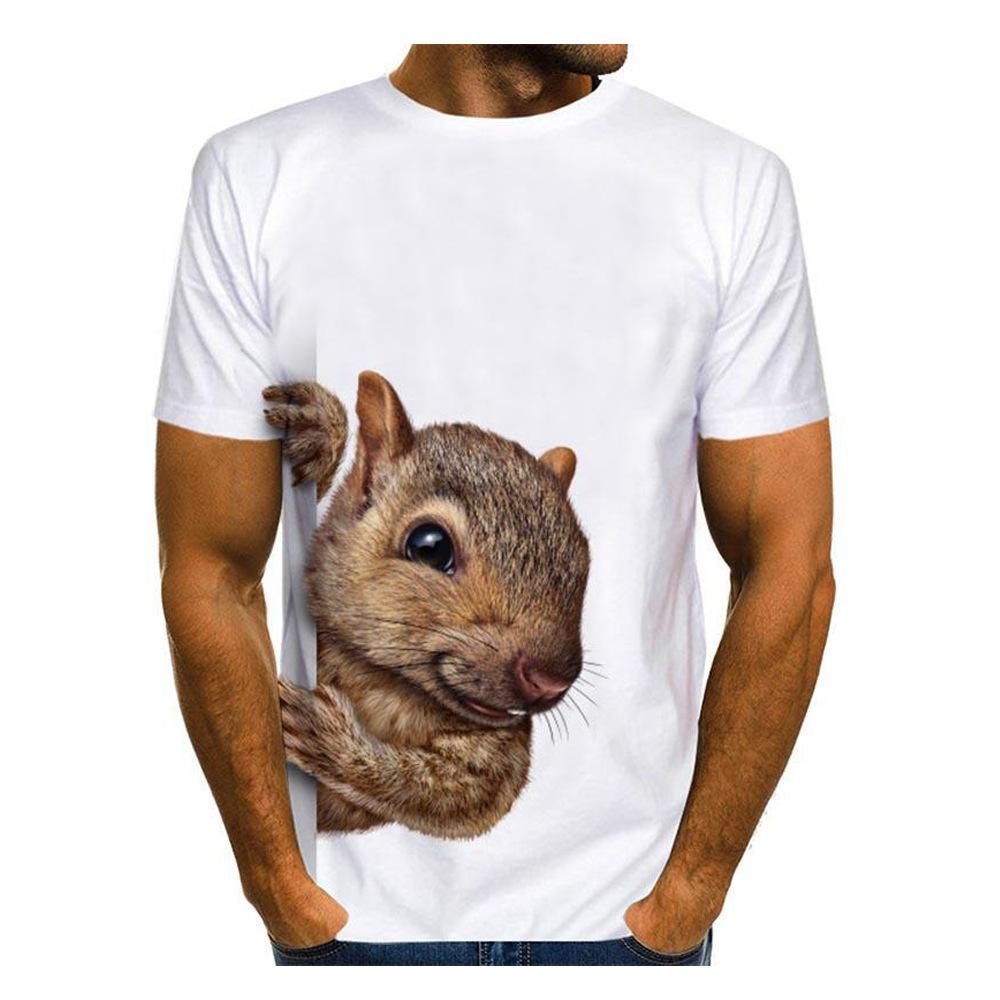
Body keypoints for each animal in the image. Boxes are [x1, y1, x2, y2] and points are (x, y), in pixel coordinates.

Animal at [263, 373, 590, 840]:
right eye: (430, 548)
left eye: (584, 560)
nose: (550, 680)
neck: (386, 684)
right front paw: (318, 428)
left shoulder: (501, 755)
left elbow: (440, 791)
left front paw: (328, 735)